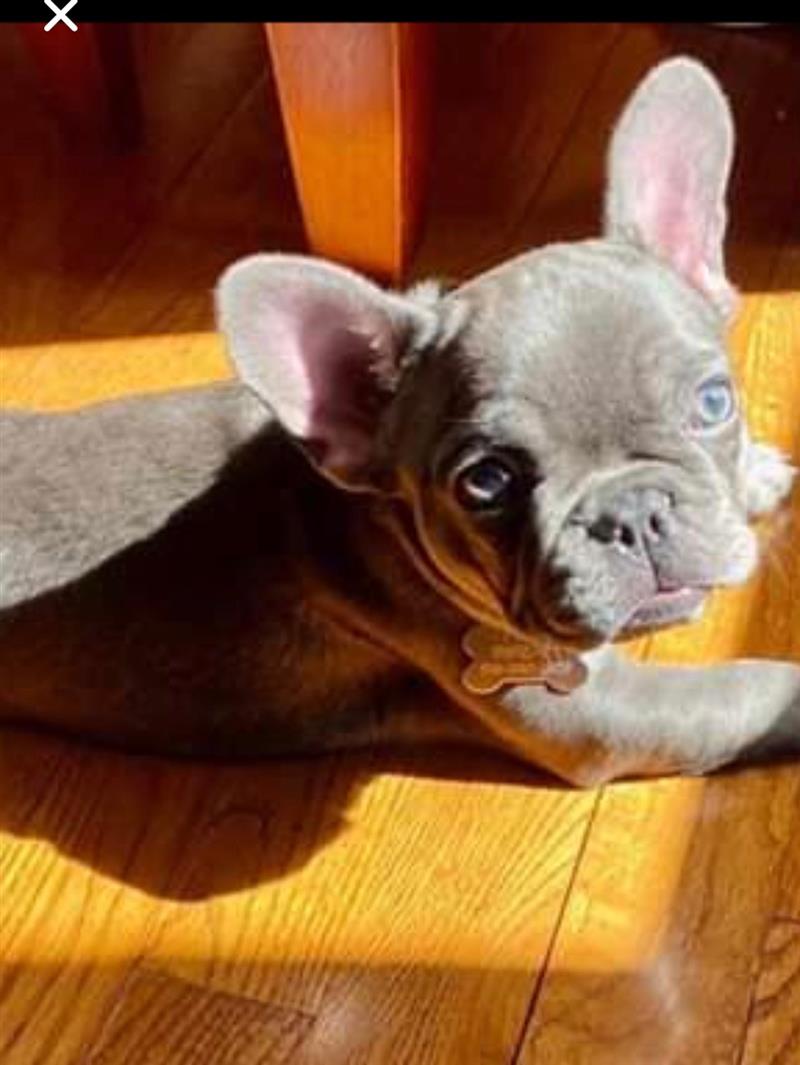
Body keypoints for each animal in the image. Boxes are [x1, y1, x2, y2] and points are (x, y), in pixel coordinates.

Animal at [1, 57, 798, 786]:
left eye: (714, 402)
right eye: (486, 482)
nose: (632, 512)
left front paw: (755, 472)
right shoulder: (603, 713)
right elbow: (751, 689)